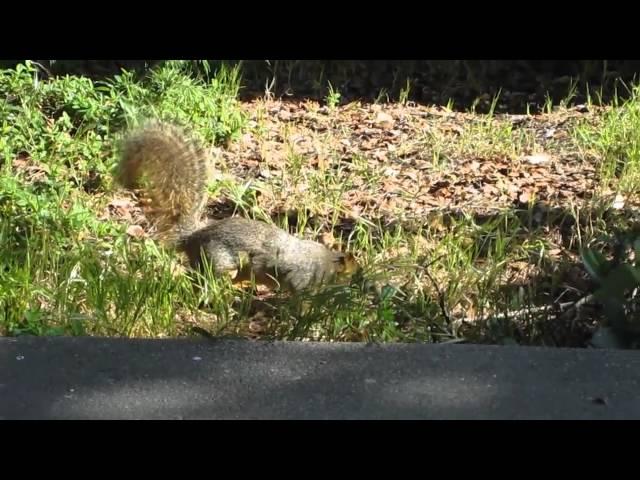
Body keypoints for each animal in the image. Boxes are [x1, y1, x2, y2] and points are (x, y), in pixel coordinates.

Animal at [115, 120, 356, 292]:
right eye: (351, 267)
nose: (359, 279)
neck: (325, 261)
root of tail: (193, 238)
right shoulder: (301, 277)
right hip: (219, 261)